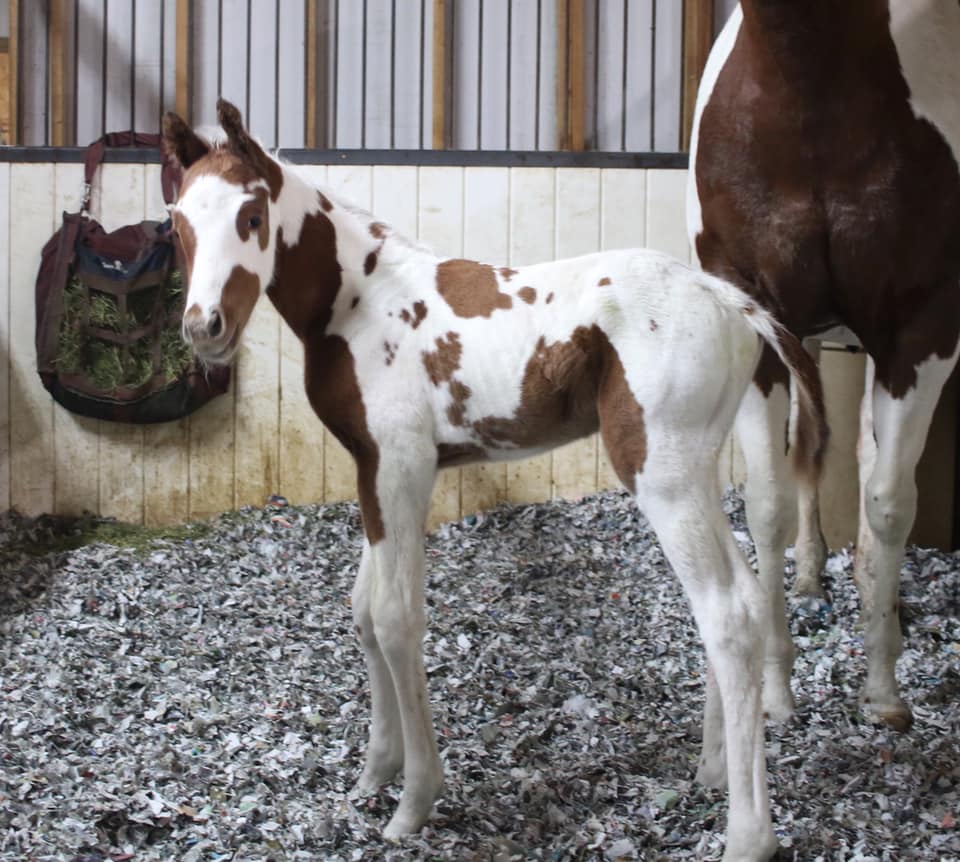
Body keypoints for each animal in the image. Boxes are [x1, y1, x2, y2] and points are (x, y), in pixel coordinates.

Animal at [163, 103, 824, 862]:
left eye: (250, 215)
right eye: (177, 222)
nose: (204, 328)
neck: (359, 299)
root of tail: (734, 305)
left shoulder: (403, 465)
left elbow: (396, 619)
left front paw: (413, 801)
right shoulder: (373, 469)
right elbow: (362, 612)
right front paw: (374, 772)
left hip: (665, 476)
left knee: (727, 611)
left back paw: (748, 834)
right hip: (699, 469)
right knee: (736, 597)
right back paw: (713, 769)